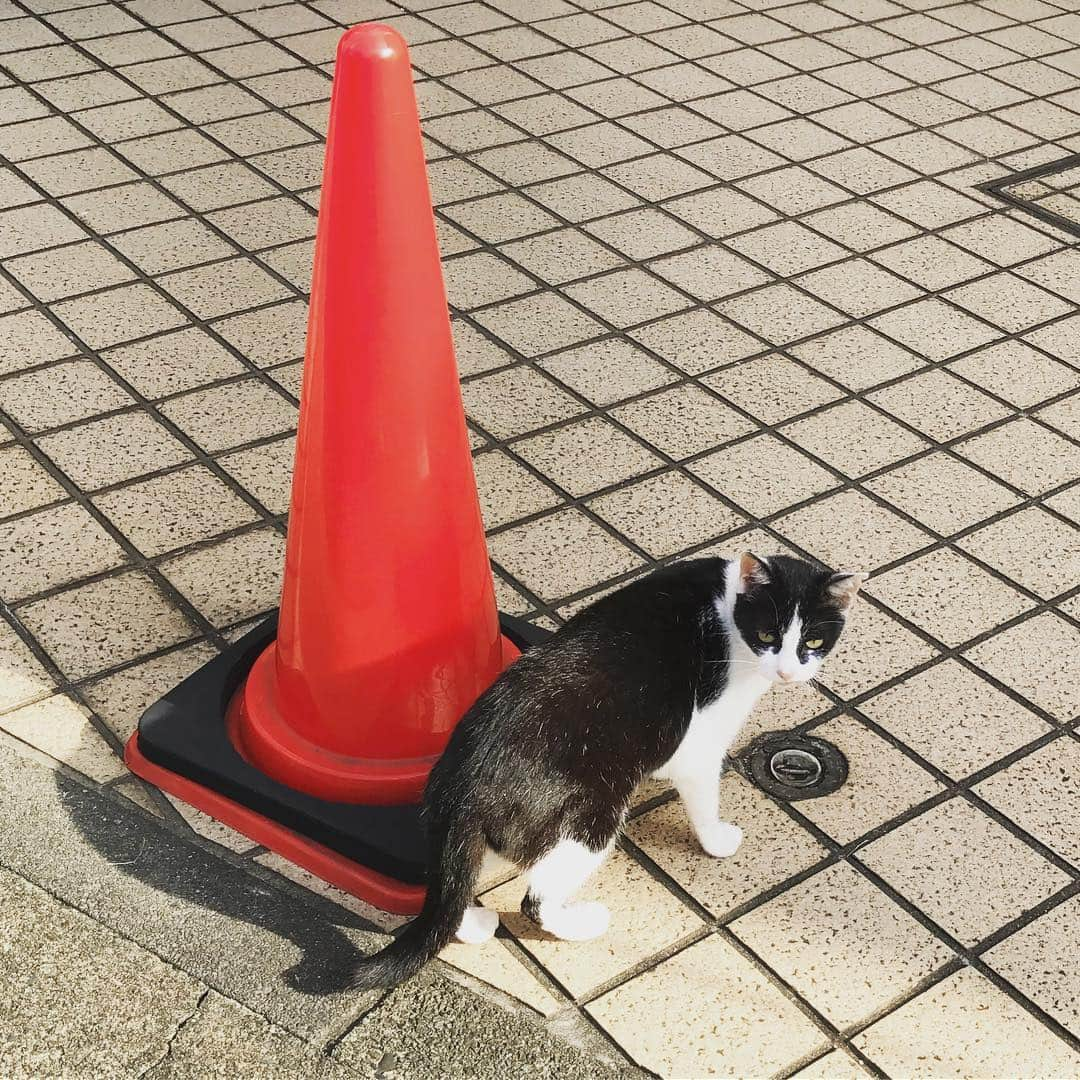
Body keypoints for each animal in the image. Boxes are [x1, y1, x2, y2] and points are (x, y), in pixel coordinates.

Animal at [349, 557, 864, 989]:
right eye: (768, 636)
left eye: (813, 642)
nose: (788, 672)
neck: (728, 607)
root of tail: (461, 787)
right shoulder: (700, 738)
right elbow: (703, 792)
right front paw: (716, 839)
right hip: (594, 814)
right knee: (534, 899)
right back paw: (583, 922)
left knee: (453, 887)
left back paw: (472, 922)